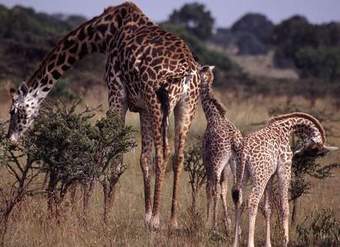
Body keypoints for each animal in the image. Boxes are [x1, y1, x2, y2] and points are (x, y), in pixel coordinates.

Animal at [5, 2, 202, 230]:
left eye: (15, 111)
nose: (10, 140)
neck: (104, 33)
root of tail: (186, 73)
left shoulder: (116, 92)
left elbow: (113, 157)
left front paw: (104, 217)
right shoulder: (142, 107)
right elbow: (143, 159)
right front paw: (144, 215)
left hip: (158, 103)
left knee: (163, 153)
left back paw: (157, 220)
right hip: (186, 106)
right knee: (178, 155)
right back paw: (172, 220)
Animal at [199, 65, 244, 232]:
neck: (213, 117)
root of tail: (233, 140)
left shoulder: (208, 161)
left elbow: (211, 189)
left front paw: (208, 222)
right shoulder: (226, 167)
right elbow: (224, 190)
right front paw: (228, 223)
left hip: (217, 162)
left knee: (214, 189)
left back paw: (214, 226)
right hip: (236, 163)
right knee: (237, 189)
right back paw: (238, 228)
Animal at [231, 112, 338, 247]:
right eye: (315, 150)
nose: (296, 155)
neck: (286, 129)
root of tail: (244, 151)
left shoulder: (270, 175)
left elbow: (268, 208)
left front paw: (268, 244)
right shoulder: (284, 168)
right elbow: (285, 207)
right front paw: (285, 240)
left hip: (242, 175)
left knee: (239, 202)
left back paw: (235, 243)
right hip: (260, 177)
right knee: (252, 201)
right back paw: (250, 243)